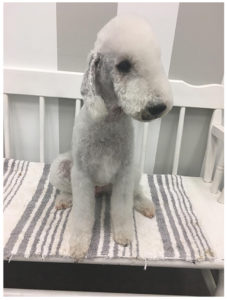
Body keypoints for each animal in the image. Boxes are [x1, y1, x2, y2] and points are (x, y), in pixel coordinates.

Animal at [49, 15, 173, 258]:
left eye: (156, 60)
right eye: (123, 65)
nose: (158, 107)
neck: (109, 121)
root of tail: (102, 189)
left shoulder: (124, 172)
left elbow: (122, 208)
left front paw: (123, 236)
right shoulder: (82, 175)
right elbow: (82, 215)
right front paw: (78, 245)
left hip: (134, 171)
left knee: (136, 192)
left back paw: (144, 204)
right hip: (61, 168)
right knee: (68, 190)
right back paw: (64, 199)